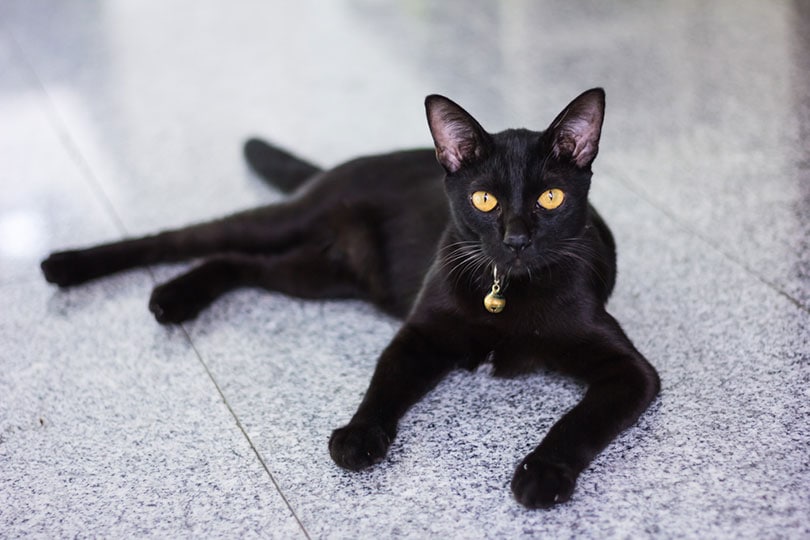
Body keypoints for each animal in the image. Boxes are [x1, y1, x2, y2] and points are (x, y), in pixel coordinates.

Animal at [41, 89, 656, 510]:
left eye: (551, 198)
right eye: (484, 200)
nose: (517, 239)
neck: (504, 290)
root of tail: (345, 167)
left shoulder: (630, 371)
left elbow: (581, 420)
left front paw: (543, 473)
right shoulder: (420, 334)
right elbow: (385, 382)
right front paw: (359, 437)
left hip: (317, 276)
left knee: (237, 264)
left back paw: (174, 298)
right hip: (288, 225)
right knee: (188, 238)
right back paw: (69, 266)